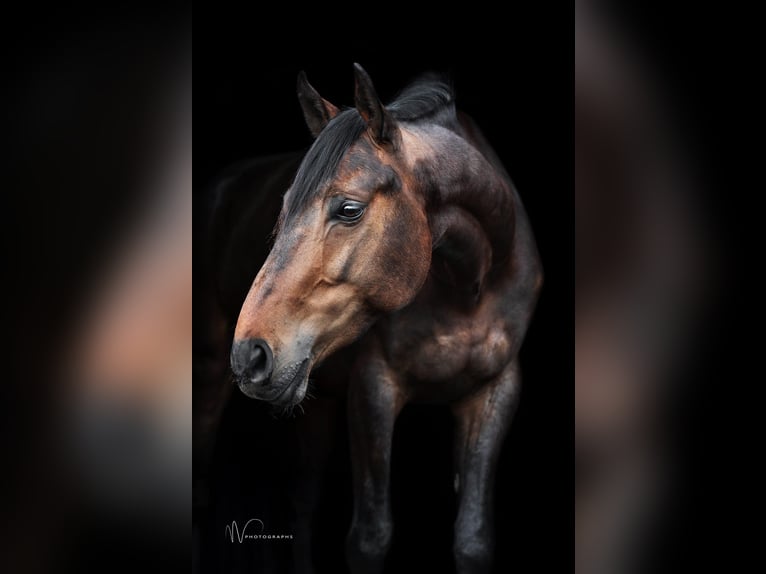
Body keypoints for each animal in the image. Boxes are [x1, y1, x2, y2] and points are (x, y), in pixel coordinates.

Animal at [230, 64, 543, 574]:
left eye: (348, 209)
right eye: (284, 207)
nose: (249, 356)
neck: (468, 285)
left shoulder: (495, 390)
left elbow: (473, 539)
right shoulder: (374, 386)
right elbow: (369, 537)